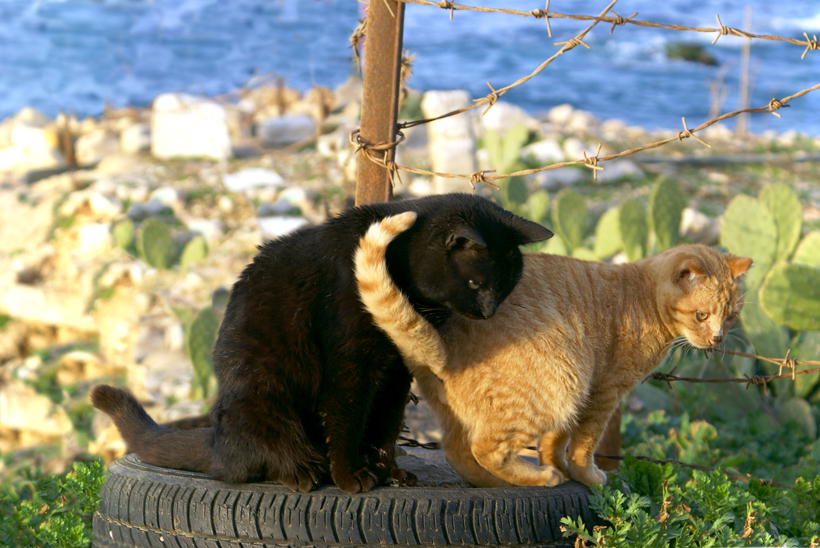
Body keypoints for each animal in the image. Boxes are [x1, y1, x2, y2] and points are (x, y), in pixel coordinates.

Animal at [89, 195, 552, 494]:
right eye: (476, 283)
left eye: (507, 285)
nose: (490, 310)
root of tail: (216, 442)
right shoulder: (350, 363)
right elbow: (345, 420)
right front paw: (350, 477)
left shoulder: (394, 373)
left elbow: (384, 426)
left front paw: (388, 472)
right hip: (263, 389)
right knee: (259, 458)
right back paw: (303, 471)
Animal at [356, 213, 752, 488]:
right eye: (702, 315)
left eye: (732, 316)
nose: (717, 339)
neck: (642, 298)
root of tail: (445, 338)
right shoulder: (603, 392)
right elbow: (584, 442)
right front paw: (585, 476)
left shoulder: (581, 397)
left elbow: (557, 440)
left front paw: (559, 465)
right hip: (557, 384)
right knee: (487, 449)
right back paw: (539, 477)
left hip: (475, 409)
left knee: (459, 452)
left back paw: (502, 483)